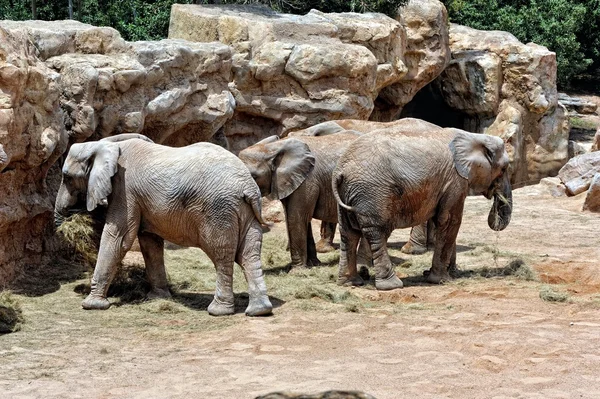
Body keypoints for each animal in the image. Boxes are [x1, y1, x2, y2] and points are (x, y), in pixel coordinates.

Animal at [55, 136, 274, 318]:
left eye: (67, 177)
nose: (69, 213)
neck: (107, 145)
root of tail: (247, 186)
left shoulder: (125, 191)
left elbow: (118, 238)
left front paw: (91, 305)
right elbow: (150, 243)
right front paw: (158, 298)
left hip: (219, 211)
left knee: (221, 255)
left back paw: (218, 311)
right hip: (245, 211)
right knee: (249, 254)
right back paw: (260, 311)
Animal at [238, 133, 364, 270]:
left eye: (254, 176)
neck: (271, 148)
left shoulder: (307, 181)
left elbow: (296, 218)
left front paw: (296, 270)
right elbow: (302, 219)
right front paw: (313, 264)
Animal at [332, 119, 510, 290]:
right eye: (504, 168)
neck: (473, 137)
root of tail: (340, 172)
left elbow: (445, 222)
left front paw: (445, 274)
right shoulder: (455, 181)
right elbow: (450, 221)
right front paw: (441, 280)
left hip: (348, 194)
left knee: (348, 234)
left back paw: (350, 283)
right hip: (372, 193)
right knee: (377, 233)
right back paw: (391, 285)